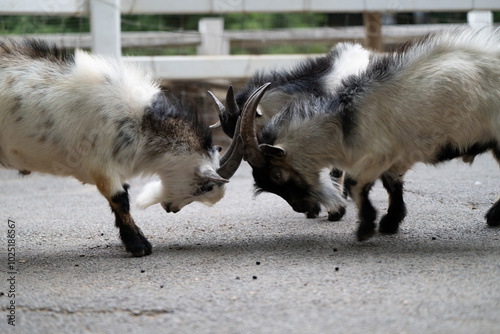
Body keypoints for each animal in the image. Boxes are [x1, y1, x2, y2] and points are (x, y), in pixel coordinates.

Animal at [0, 38, 242, 256]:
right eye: (207, 187)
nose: (172, 209)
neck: (140, 122)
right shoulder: (100, 164)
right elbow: (120, 199)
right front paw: (139, 246)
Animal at [237, 26, 500, 240]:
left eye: (277, 175)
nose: (300, 208)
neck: (344, 124)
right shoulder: (395, 156)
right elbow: (391, 185)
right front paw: (390, 222)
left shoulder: (379, 152)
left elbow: (356, 184)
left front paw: (367, 227)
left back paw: (493, 216)